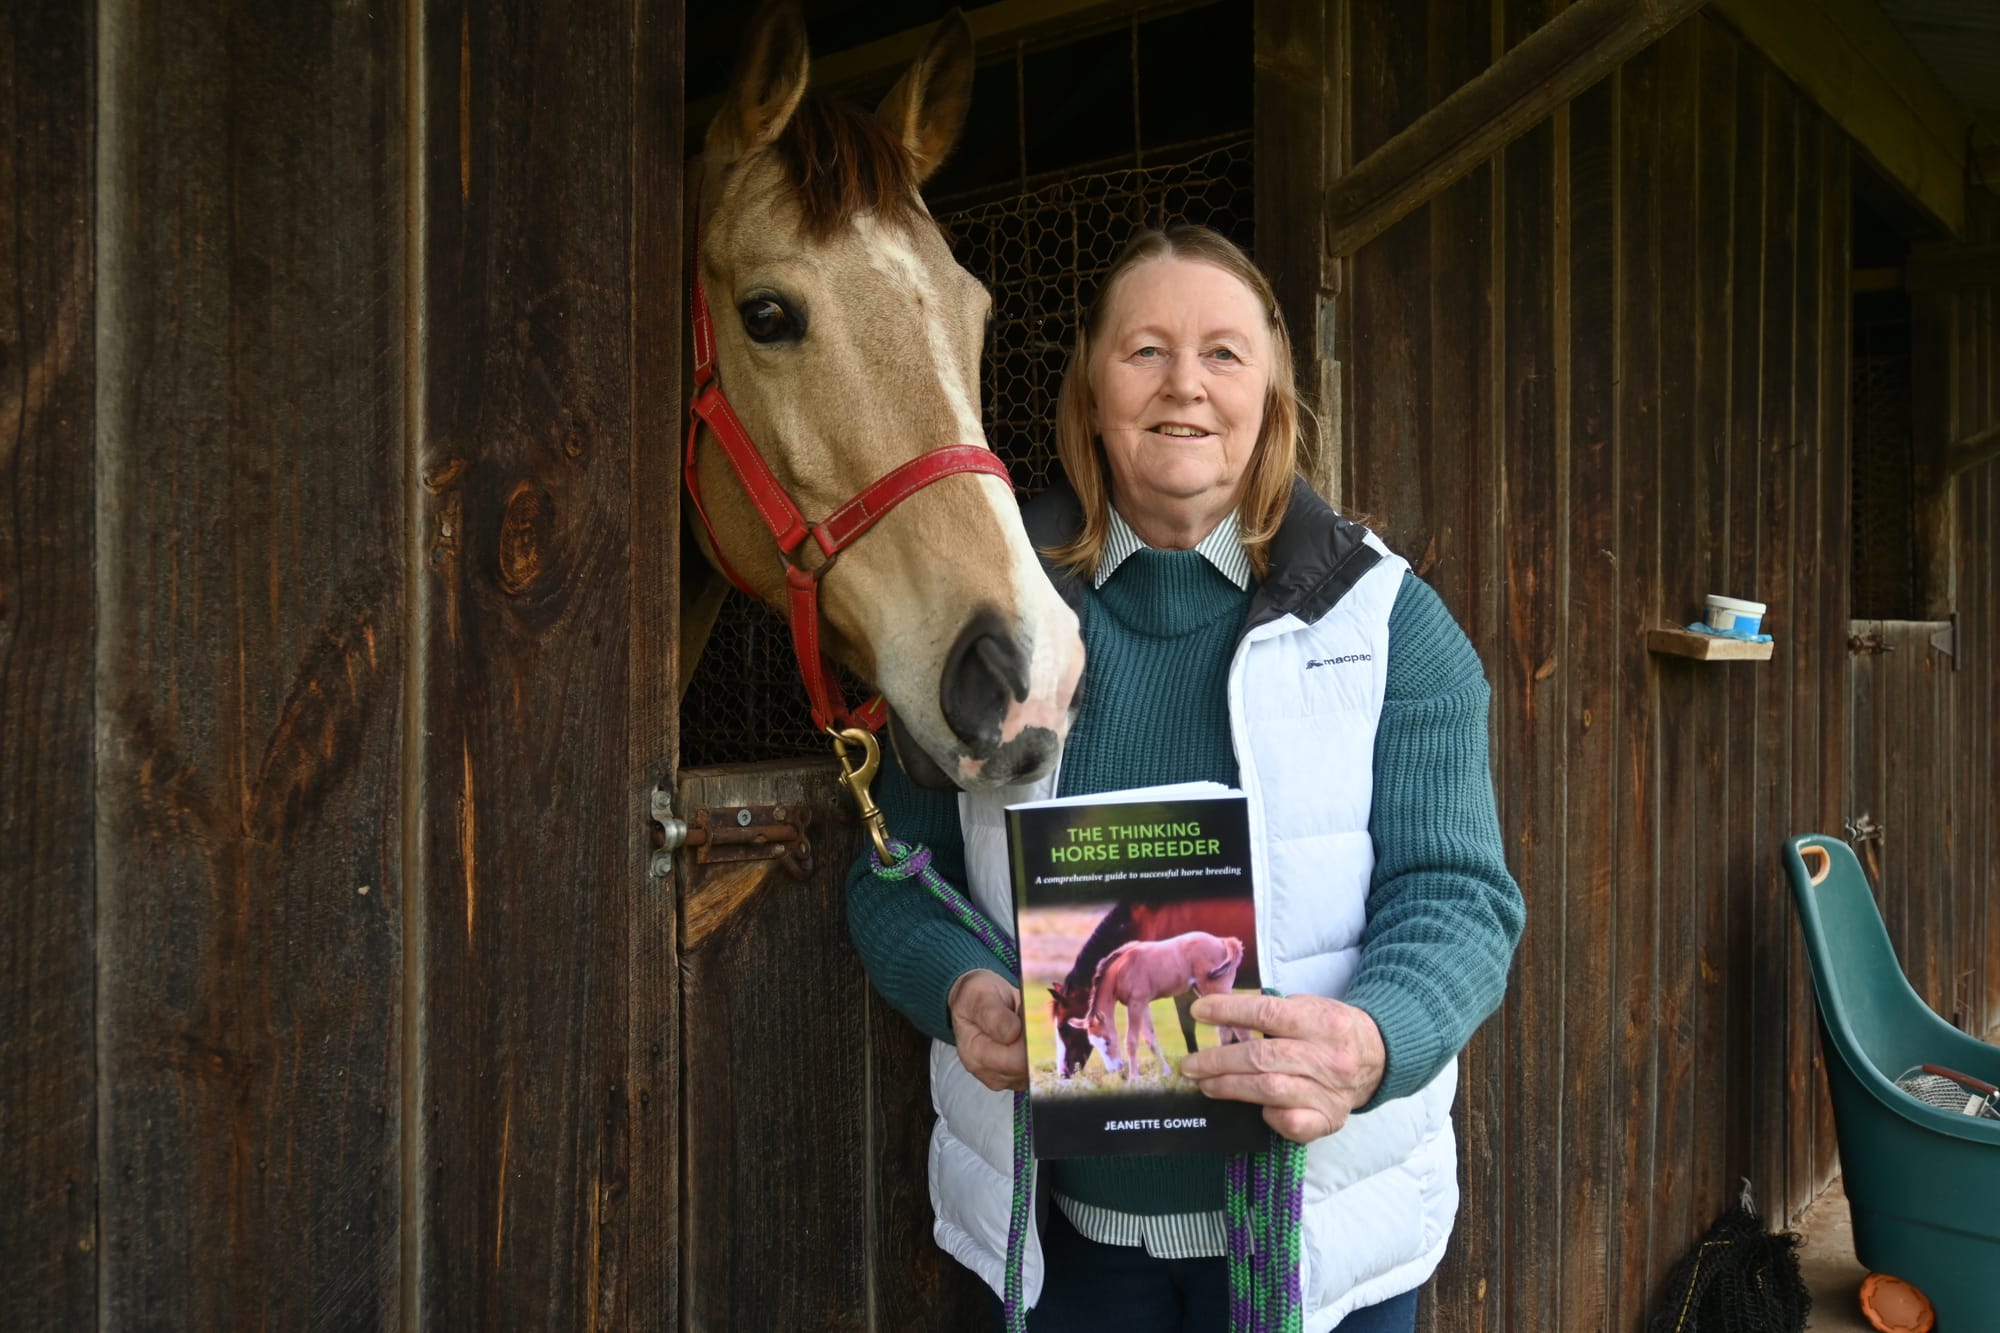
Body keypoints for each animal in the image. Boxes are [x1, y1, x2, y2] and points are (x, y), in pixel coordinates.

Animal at [1066, 932, 1246, 1081]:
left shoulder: (1136, 1003)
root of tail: (1223, 941)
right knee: (1224, 1029)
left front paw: (1134, 1079)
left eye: (1108, 1041)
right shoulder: (1143, 1004)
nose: (1114, 1070)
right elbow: (1150, 1038)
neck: (1121, 969)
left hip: (1216, 988)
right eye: (1093, 1044)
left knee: (1238, 1027)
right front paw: (1166, 1073)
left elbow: (1131, 1040)